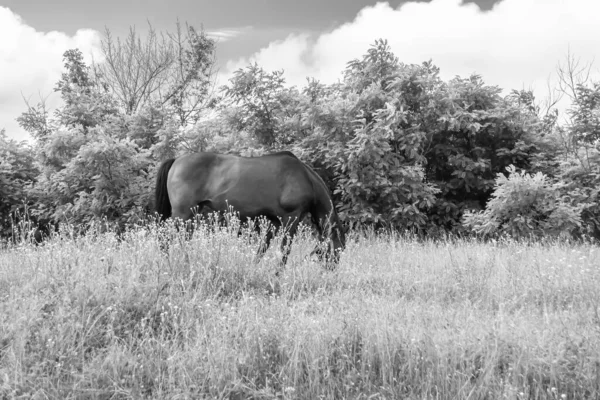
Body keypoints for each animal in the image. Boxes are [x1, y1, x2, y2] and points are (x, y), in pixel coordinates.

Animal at [154, 152, 346, 268]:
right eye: (337, 250)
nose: (331, 271)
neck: (305, 178)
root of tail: (176, 160)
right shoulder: (291, 218)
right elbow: (284, 250)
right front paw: (277, 274)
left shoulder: (274, 222)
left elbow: (262, 248)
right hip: (183, 214)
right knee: (167, 239)